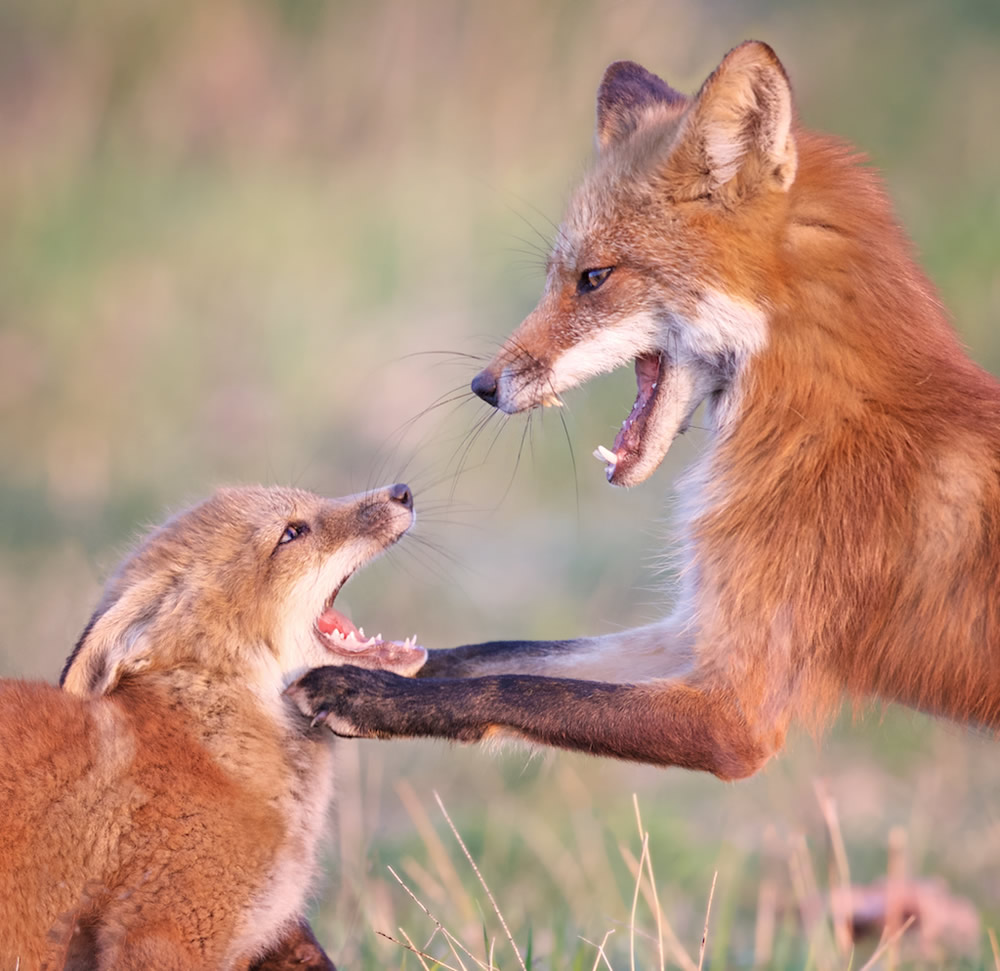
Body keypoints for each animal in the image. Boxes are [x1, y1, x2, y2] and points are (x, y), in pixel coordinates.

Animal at [288, 41, 1000, 784]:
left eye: (593, 278)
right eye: (557, 276)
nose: (483, 386)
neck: (822, 423)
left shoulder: (736, 713)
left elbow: (518, 687)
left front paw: (364, 692)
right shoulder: (693, 632)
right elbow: (493, 655)